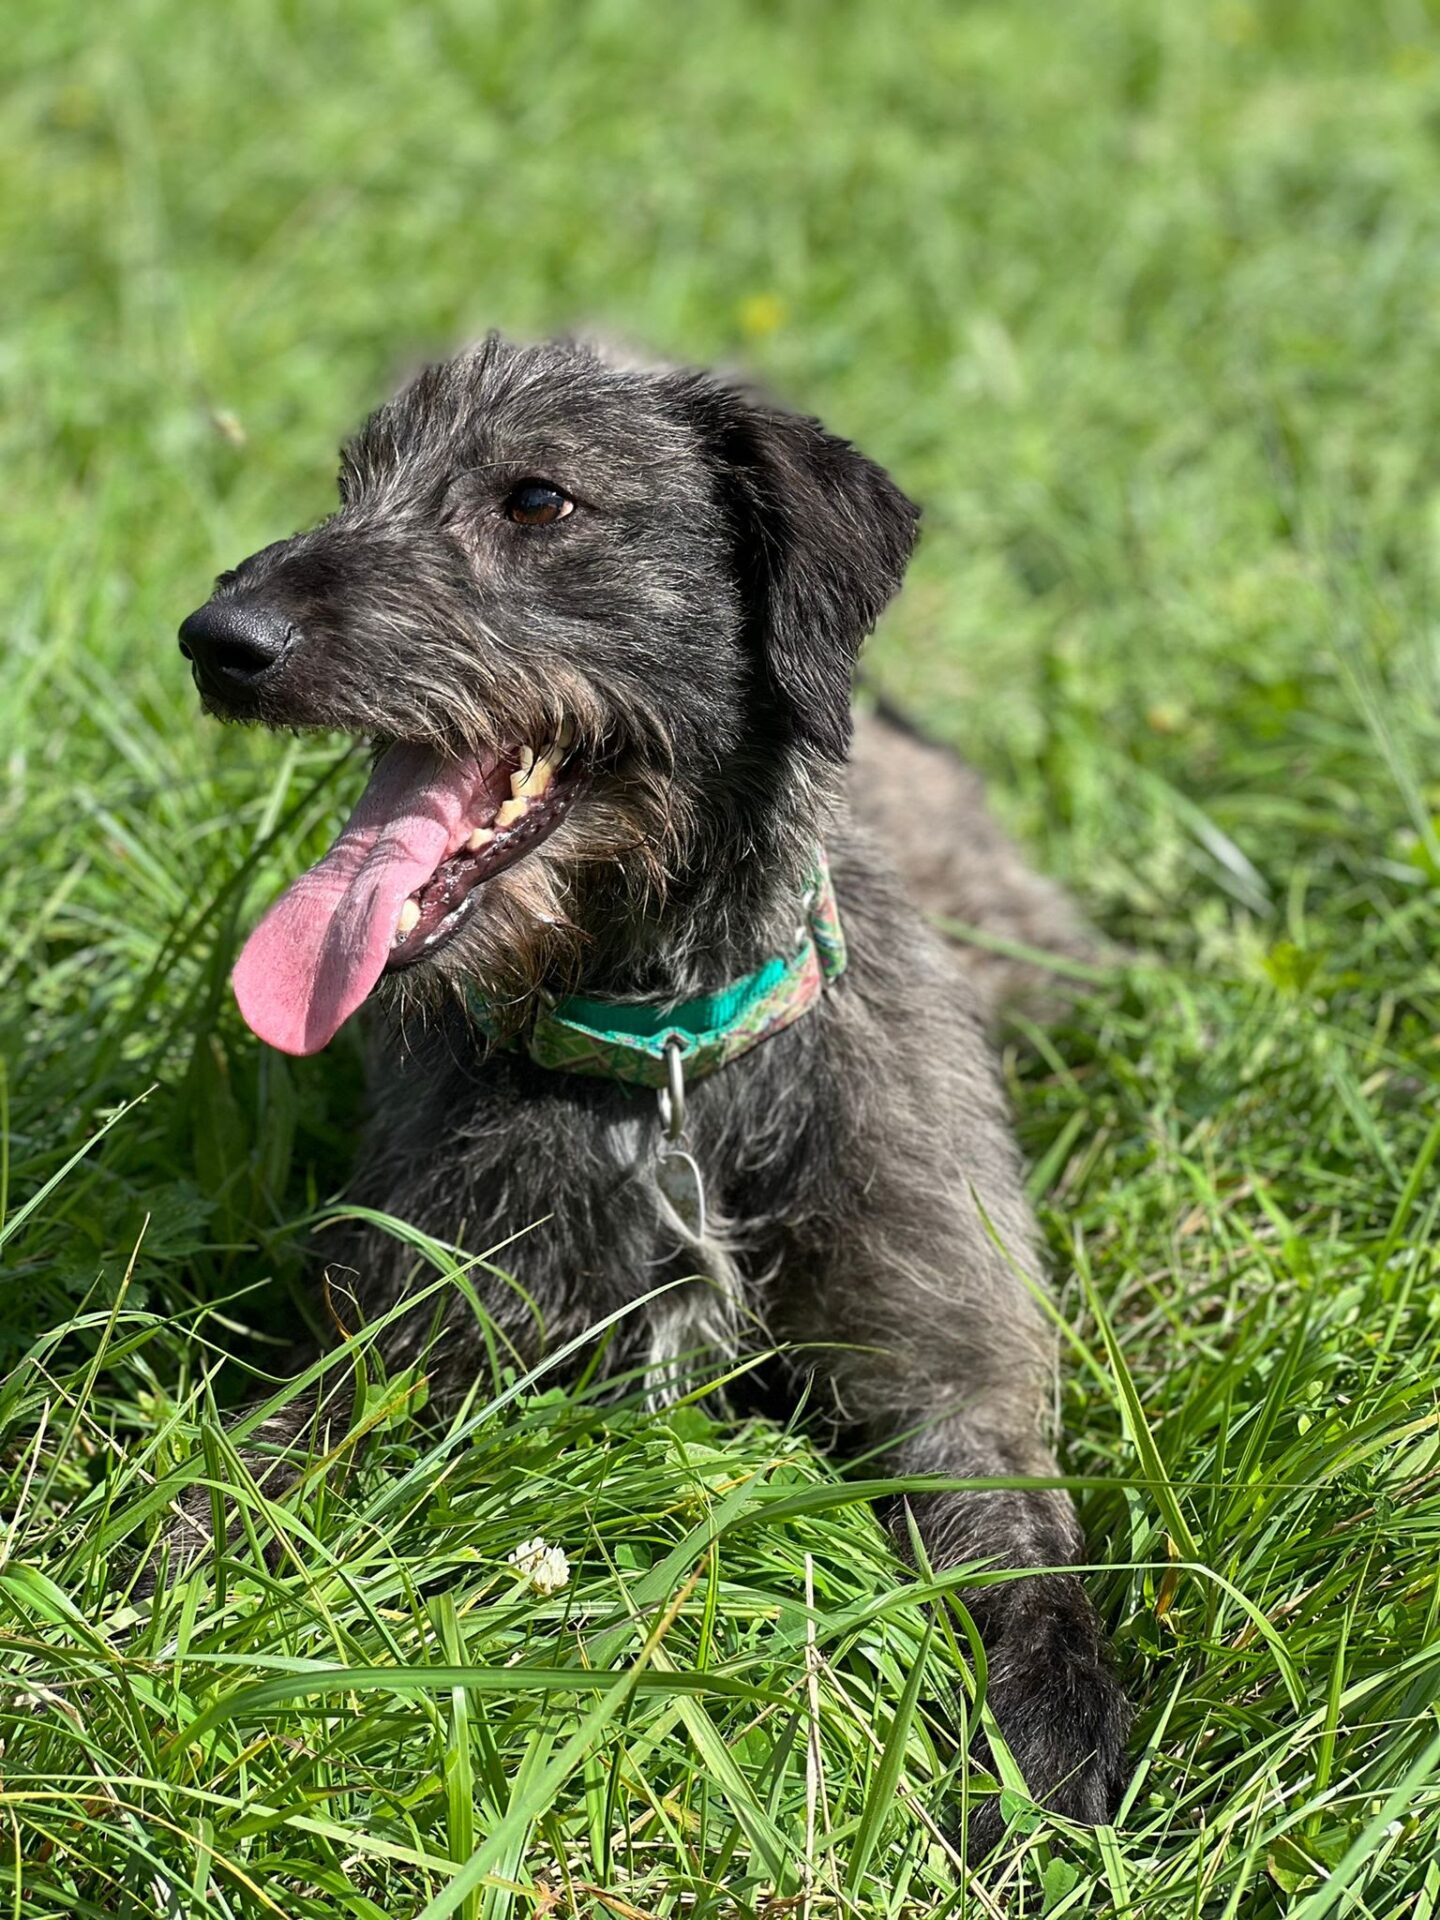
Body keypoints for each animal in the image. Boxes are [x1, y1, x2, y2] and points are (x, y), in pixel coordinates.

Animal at [177, 334, 1128, 1858]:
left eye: (538, 500)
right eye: (355, 480)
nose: (220, 639)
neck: (667, 1054)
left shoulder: (952, 1386)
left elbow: (1024, 1586)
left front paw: (1042, 1765)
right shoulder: (403, 1338)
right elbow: (241, 1474)